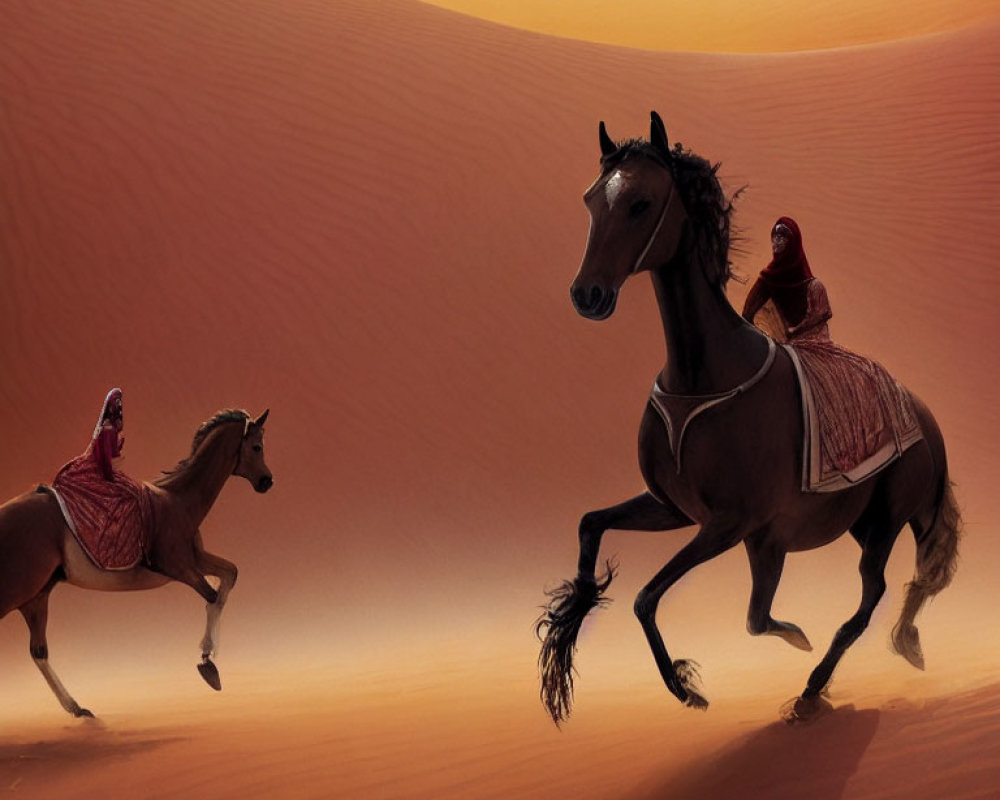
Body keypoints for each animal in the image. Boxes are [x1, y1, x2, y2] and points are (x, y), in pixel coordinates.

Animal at [0, 410, 274, 716]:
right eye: (257, 447)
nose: (267, 481)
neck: (179, 500)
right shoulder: (177, 566)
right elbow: (213, 595)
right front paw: (207, 662)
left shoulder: (196, 559)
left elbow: (229, 575)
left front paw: (210, 655)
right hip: (17, 591)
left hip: (36, 596)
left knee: (39, 651)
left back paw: (77, 708)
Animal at [540, 112, 960, 724]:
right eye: (592, 199)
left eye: (642, 202)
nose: (587, 294)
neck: (704, 372)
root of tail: (926, 417)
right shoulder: (676, 509)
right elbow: (590, 525)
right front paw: (567, 626)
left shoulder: (734, 524)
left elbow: (649, 598)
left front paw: (688, 687)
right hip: (853, 525)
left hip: (884, 521)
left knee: (872, 596)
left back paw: (813, 687)